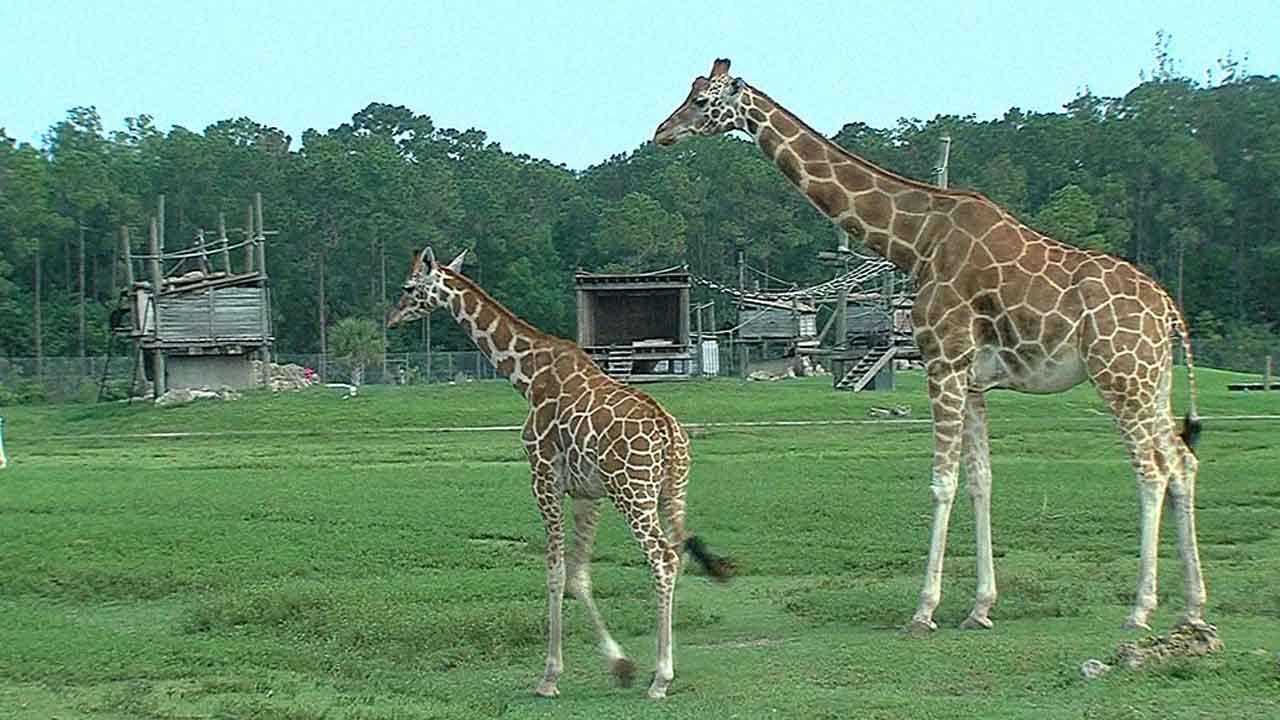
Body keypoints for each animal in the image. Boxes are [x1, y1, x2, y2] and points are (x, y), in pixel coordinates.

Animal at [387, 247, 730, 699]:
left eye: (409, 286)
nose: (392, 317)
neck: (527, 376)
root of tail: (670, 434)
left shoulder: (544, 477)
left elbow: (554, 573)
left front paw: (549, 676)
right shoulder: (588, 493)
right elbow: (579, 575)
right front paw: (620, 666)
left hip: (633, 494)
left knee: (664, 558)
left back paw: (661, 679)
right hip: (673, 492)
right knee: (679, 555)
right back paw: (663, 668)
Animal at [654, 58, 1207, 634]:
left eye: (701, 102)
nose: (661, 132)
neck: (915, 242)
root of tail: (1169, 310)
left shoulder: (942, 362)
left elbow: (942, 482)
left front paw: (923, 610)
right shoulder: (975, 380)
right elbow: (981, 481)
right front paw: (980, 607)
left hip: (1120, 376)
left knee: (1152, 470)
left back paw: (1141, 609)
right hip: (1152, 379)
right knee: (1183, 461)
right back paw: (1192, 608)